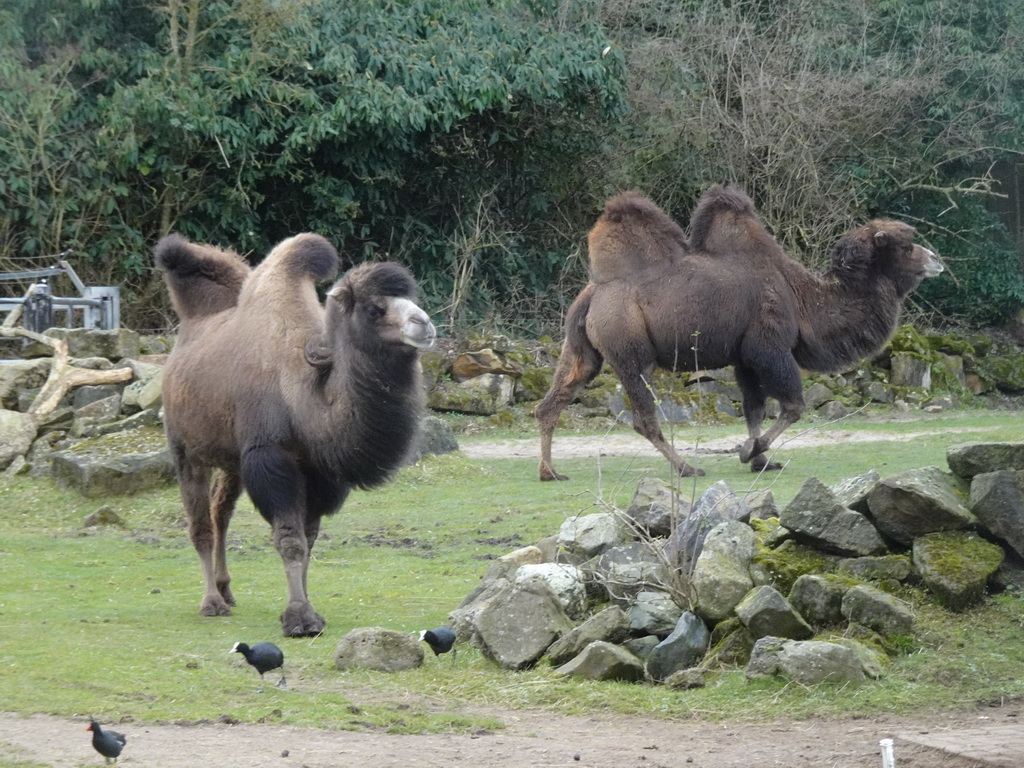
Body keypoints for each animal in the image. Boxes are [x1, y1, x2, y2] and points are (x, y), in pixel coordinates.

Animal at [156, 233, 436, 638]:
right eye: (374, 309)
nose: (424, 324)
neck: (302, 398)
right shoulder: (271, 459)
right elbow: (291, 540)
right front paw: (299, 618)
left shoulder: (320, 472)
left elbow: (310, 538)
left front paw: (308, 608)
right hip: (186, 448)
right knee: (200, 523)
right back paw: (211, 602)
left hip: (233, 459)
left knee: (221, 512)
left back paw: (226, 590)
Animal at [536, 184, 942, 481]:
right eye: (905, 246)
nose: (936, 259)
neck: (802, 299)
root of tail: (594, 292)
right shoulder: (769, 347)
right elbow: (793, 406)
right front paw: (752, 452)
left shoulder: (744, 357)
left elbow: (754, 409)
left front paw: (761, 459)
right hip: (630, 349)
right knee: (643, 416)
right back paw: (686, 467)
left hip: (583, 348)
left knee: (553, 400)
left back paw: (550, 472)